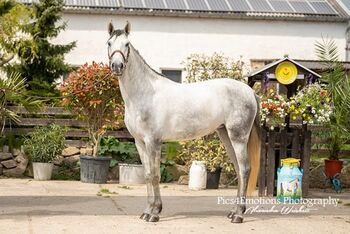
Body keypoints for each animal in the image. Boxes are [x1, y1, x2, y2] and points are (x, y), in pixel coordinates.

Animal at [108, 22, 262, 225]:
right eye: (109, 43)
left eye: (126, 44)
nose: (117, 66)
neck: (145, 93)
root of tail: (249, 92)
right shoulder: (140, 142)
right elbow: (148, 175)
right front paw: (147, 211)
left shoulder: (153, 141)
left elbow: (155, 175)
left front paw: (155, 213)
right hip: (226, 135)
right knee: (238, 169)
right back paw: (233, 211)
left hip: (238, 136)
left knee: (245, 169)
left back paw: (238, 215)